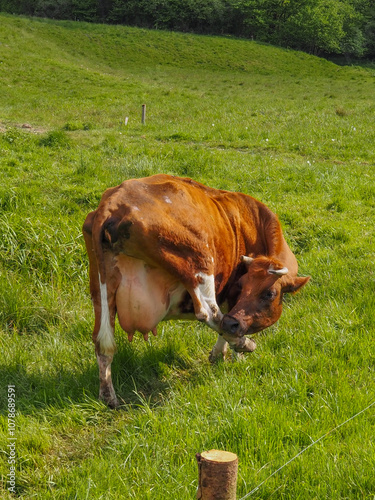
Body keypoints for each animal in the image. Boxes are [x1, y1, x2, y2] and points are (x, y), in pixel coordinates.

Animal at [83, 175, 310, 406]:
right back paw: (245, 344)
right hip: (198, 261)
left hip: (101, 287)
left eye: (268, 293)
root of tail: (113, 202)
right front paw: (230, 354)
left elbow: (230, 319)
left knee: (103, 341)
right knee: (210, 313)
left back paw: (108, 396)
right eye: (243, 286)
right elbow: (227, 320)